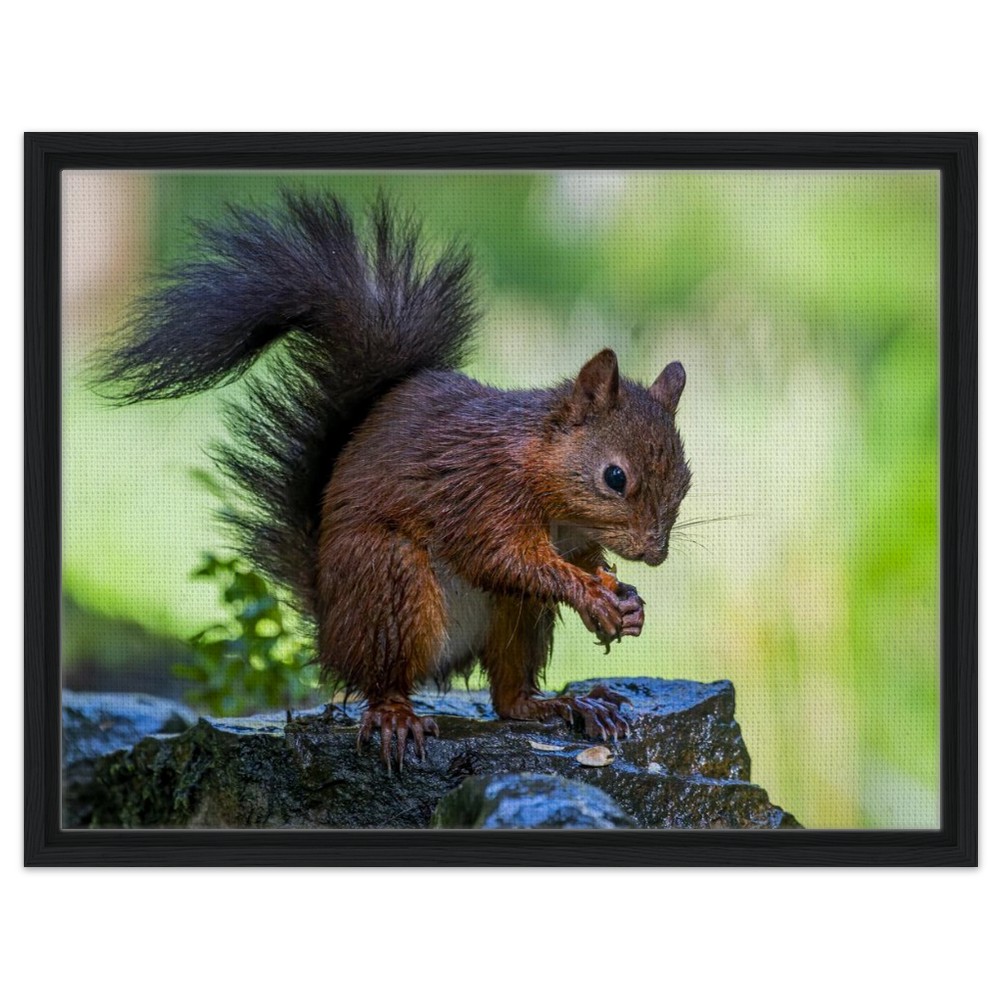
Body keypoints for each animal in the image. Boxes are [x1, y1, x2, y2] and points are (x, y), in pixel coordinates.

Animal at [98, 192, 692, 772]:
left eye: (686, 480)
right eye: (614, 477)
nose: (655, 553)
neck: (549, 488)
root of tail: (330, 628)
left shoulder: (571, 537)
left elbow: (579, 562)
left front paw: (626, 601)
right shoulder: (480, 495)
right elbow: (506, 558)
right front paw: (592, 594)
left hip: (515, 616)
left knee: (508, 695)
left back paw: (565, 704)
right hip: (388, 583)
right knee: (384, 677)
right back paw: (396, 716)